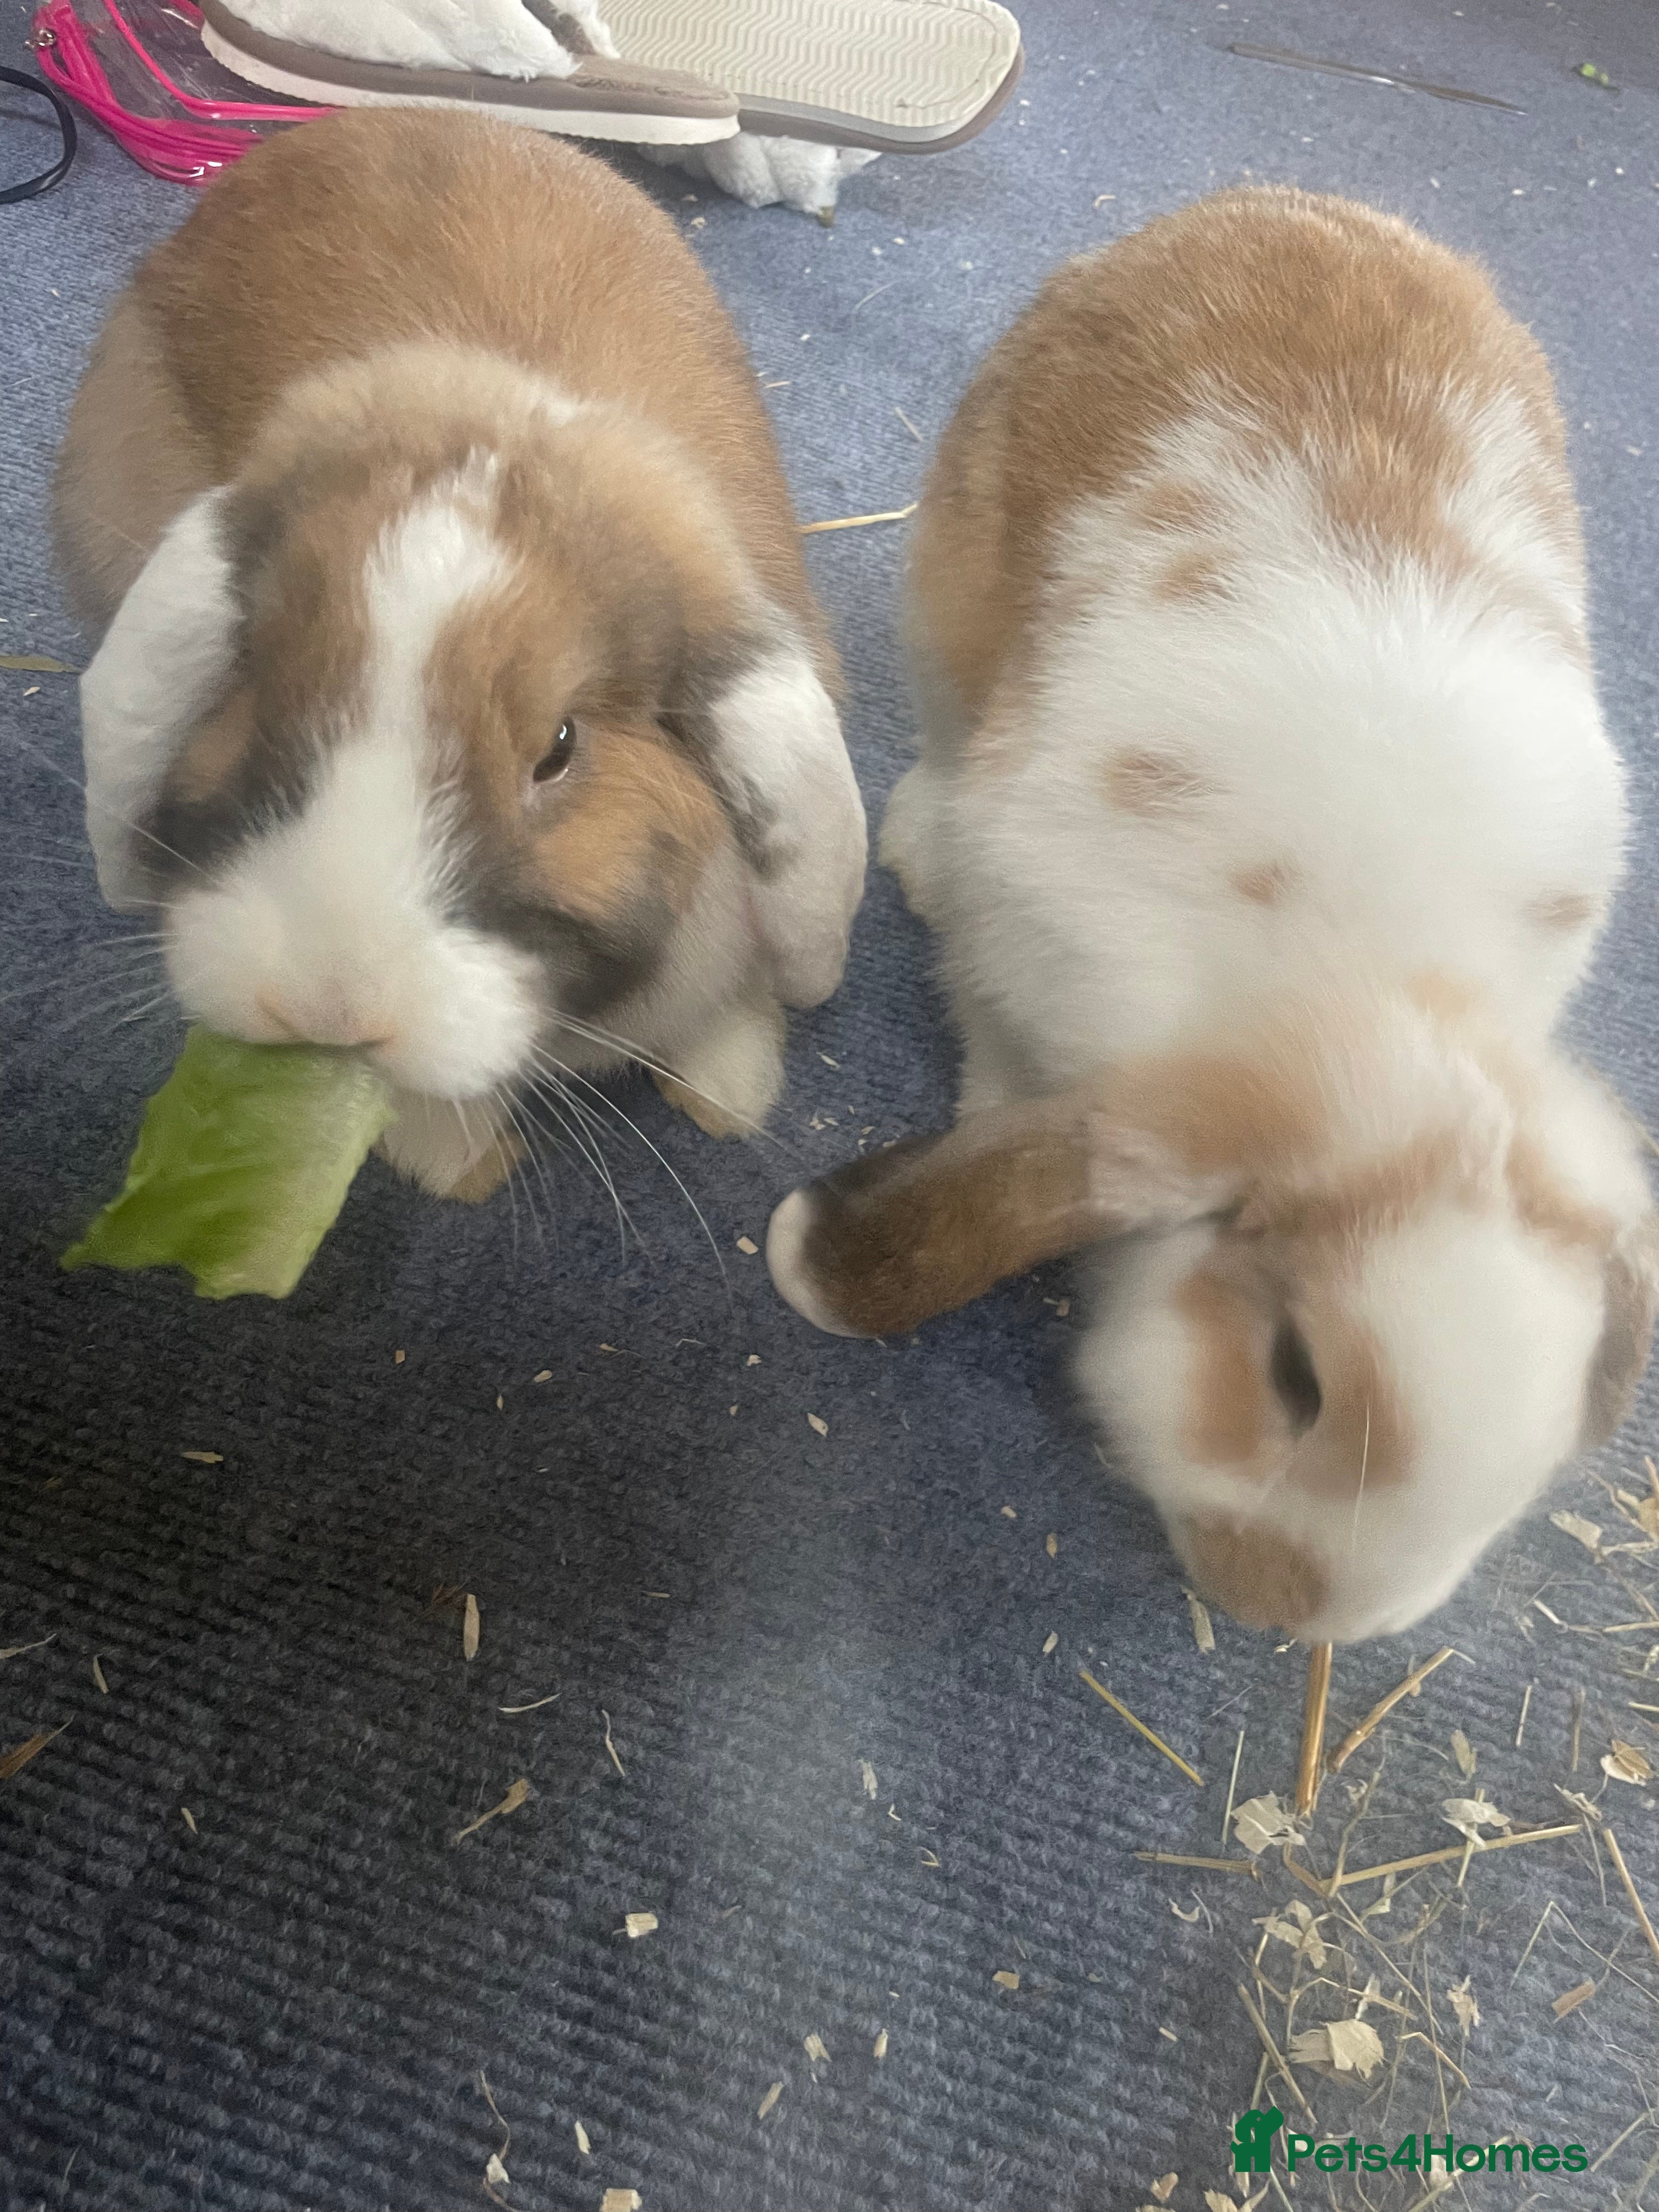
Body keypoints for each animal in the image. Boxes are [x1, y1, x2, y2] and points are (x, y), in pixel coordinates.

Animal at [766, 187, 1657, 1645]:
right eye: (1293, 1374)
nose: (1287, 1610)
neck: (1367, 979)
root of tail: (1264, 204)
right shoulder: (1023, 954)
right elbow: (998, 1057)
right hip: (947, 588)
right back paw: (912, 839)